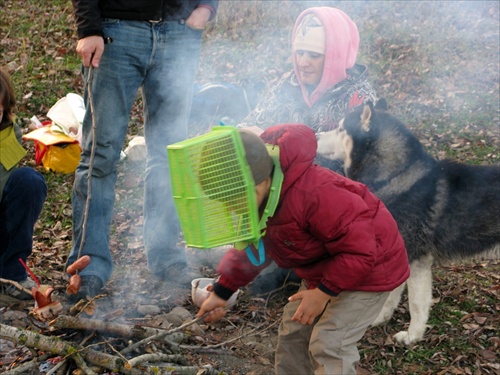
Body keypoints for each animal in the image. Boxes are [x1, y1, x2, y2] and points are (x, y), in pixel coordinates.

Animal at [316, 100, 500, 346]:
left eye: (340, 129)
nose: (315, 135)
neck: (394, 177)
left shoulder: (417, 260)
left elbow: (416, 304)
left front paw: (413, 336)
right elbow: (391, 296)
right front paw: (381, 319)